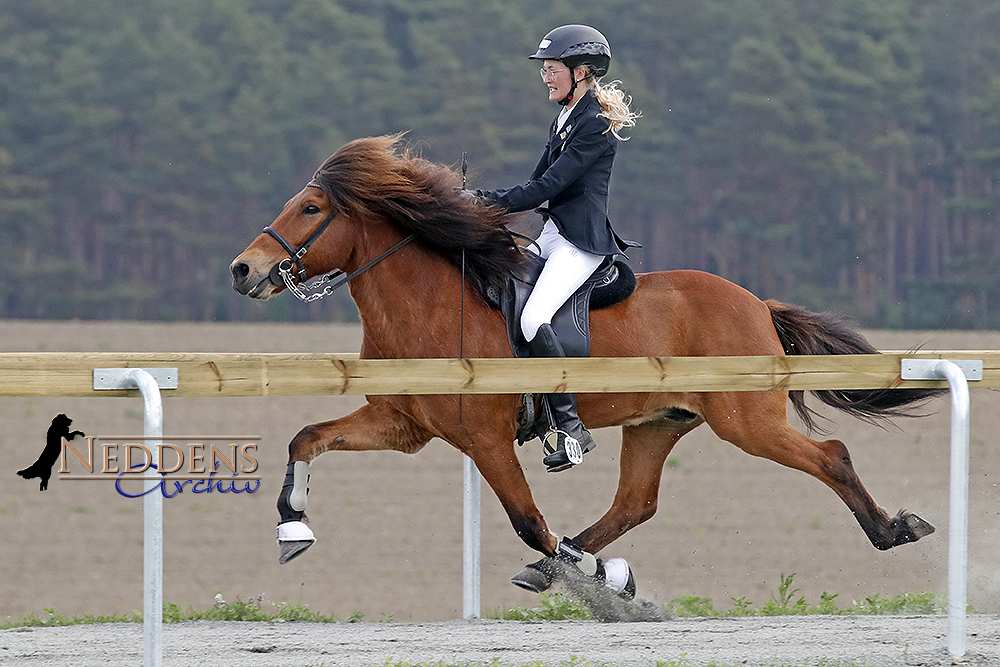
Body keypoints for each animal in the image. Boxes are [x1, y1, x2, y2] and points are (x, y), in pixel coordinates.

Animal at [230, 133, 940, 596]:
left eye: (312, 209)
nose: (243, 270)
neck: (428, 305)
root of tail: (755, 303)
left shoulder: (485, 439)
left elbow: (527, 522)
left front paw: (604, 578)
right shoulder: (402, 424)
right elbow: (306, 438)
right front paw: (292, 526)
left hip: (746, 421)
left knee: (832, 457)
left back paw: (892, 529)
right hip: (657, 422)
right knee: (635, 502)